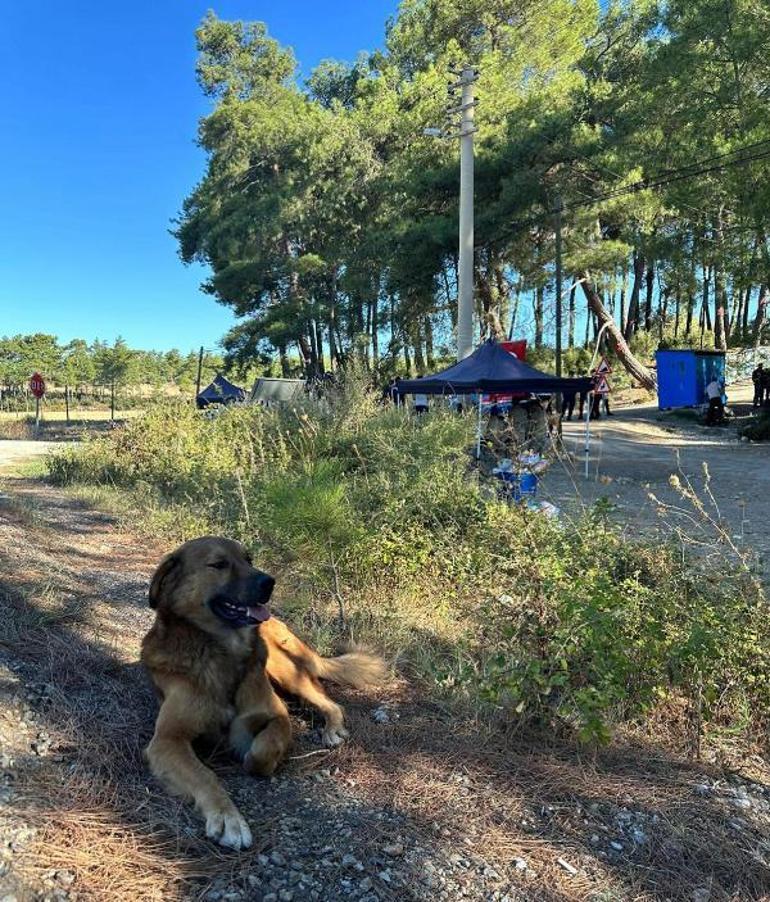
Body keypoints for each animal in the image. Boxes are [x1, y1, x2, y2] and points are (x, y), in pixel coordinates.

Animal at [140, 536, 384, 848]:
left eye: (249, 559)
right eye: (219, 564)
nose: (270, 582)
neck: (223, 651)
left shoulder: (277, 715)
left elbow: (264, 747)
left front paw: (249, 751)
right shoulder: (167, 740)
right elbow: (204, 775)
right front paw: (228, 817)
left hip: (283, 667)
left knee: (329, 702)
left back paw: (331, 729)